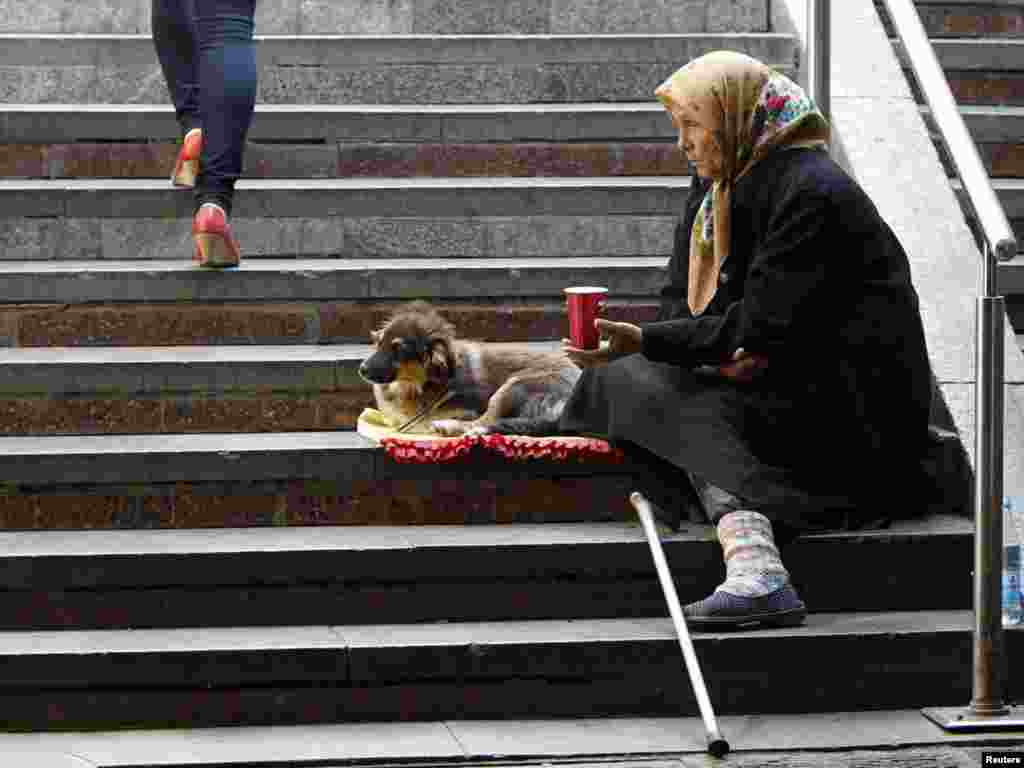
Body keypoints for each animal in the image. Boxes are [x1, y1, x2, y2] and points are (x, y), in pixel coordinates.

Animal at [358, 303, 585, 438]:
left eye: (399, 349)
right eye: (379, 343)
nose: (362, 369)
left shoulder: (466, 408)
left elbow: (422, 421)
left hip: (515, 385)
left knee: (487, 421)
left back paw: (448, 426)